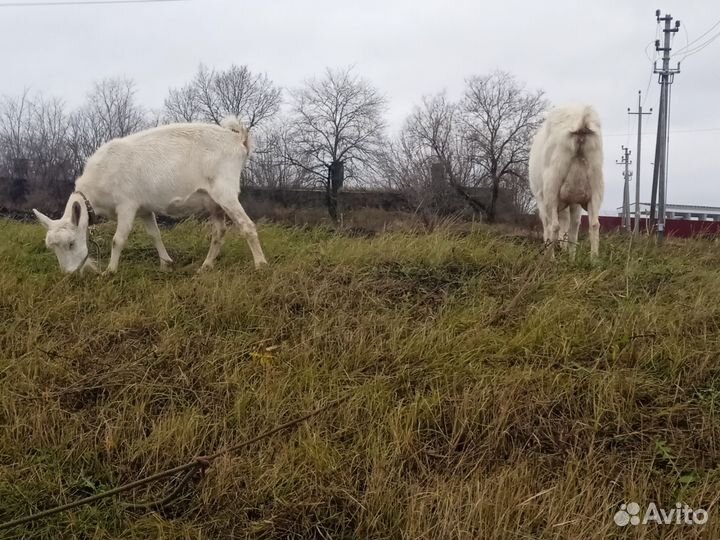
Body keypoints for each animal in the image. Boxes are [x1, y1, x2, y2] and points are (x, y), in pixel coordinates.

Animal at [33, 116, 267, 274]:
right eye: (52, 248)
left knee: (247, 225)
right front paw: (166, 264)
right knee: (219, 231)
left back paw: (261, 264)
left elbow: (118, 239)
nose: (68, 274)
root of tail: (237, 138)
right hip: (213, 200)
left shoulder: (127, 204)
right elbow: (155, 234)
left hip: (225, 192)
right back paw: (205, 266)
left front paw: (110, 270)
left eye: (71, 244)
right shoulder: (144, 208)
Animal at [528, 104, 604, 259]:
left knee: (554, 226)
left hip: (552, 184)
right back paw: (594, 260)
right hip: (596, 184)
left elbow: (548, 226)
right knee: (594, 224)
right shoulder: (575, 203)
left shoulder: (541, 200)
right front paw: (570, 257)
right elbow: (573, 229)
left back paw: (550, 259)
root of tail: (581, 118)